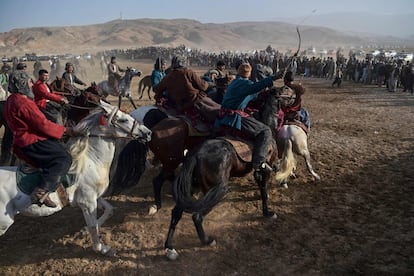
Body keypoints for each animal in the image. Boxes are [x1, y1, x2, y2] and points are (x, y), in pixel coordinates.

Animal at [0, 100, 152, 256]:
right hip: (4, 224)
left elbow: (109, 210)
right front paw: (103, 248)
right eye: (123, 120)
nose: (147, 132)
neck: (91, 161)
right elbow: (93, 227)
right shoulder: (88, 203)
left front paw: (85, 231)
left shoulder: (93, 198)